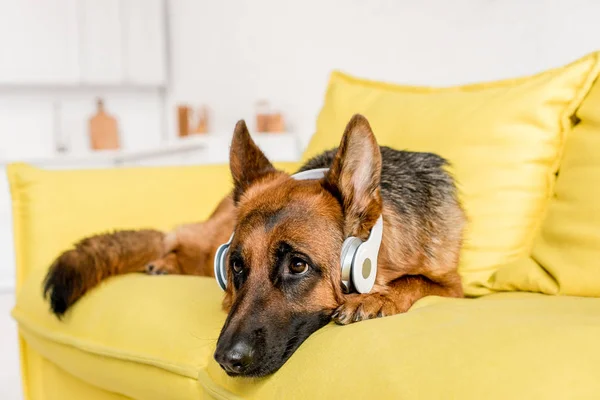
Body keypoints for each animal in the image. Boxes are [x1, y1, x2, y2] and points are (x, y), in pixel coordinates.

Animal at [44, 114, 466, 376]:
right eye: (236, 266)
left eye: (298, 265)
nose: (225, 360)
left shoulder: (453, 287)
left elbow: (415, 280)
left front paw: (376, 298)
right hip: (206, 238)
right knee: (173, 237)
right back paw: (165, 261)